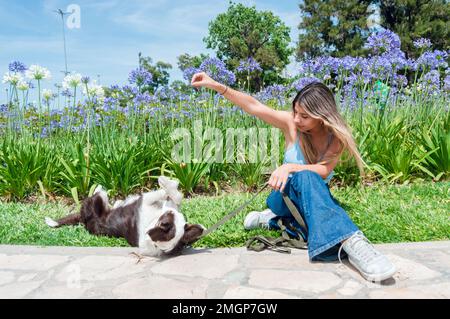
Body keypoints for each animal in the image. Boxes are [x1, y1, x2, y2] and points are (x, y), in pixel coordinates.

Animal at [44, 178, 205, 258]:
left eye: (166, 220)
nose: (170, 211)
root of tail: (83, 219)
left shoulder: (146, 203)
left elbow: (163, 194)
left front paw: (164, 182)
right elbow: (176, 197)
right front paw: (169, 185)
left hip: (94, 204)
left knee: (98, 195)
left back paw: (100, 188)